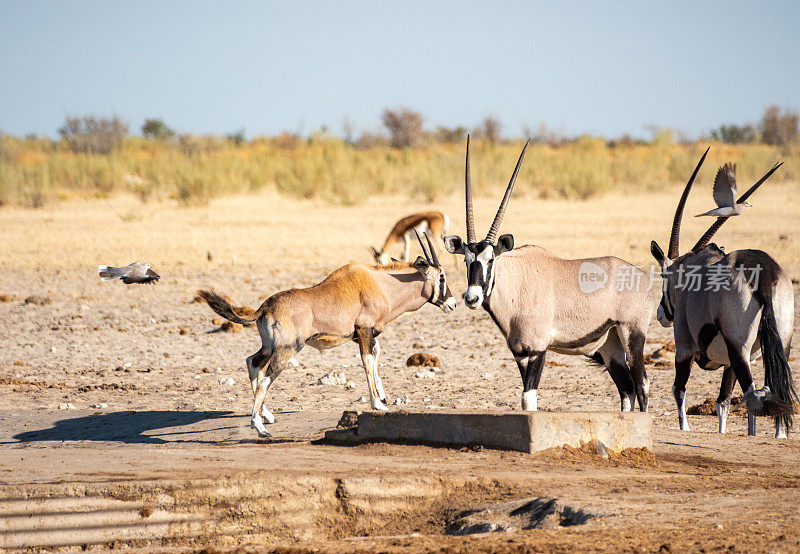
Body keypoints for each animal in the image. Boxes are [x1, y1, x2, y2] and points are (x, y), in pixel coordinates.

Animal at [198, 229, 456, 436]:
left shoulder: (365, 335)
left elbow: (376, 357)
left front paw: (383, 396)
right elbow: (367, 361)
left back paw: (267, 416)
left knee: (252, 362)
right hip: (287, 349)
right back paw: (259, 427)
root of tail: (266, 306)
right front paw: (378, 403)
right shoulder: (364, 331)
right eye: (442, 277)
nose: (452, 304)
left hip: (269, 347)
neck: (382, 284)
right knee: (264, 378)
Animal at [648, 151, 792, 436]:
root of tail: (764, 273)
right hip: (780, 343)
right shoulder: (727, 365)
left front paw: (685, 428)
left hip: (739, 348)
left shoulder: (684, 347)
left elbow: (679, 390)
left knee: (753, 395)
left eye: (664, 277)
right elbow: (723, 402)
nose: (661, 314)